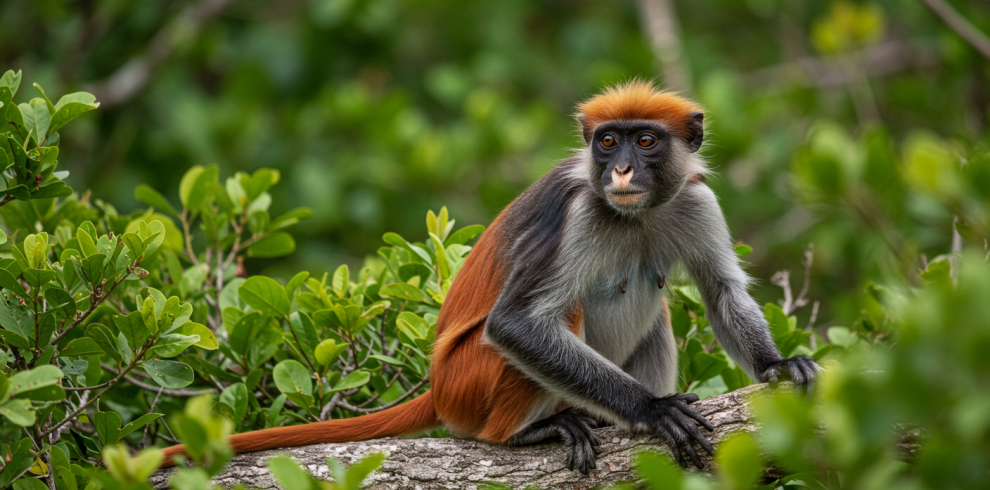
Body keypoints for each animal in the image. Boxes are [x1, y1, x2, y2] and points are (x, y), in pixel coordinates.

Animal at [161, 80, 819, 473]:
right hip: (470, 380)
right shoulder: (581, 210)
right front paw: (652, 410)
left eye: (647, 140)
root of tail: (437, 385)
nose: (623, 170)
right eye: (609, 142)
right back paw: (523, 434)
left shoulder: (694, 199)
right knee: (557, 316)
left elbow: (722, 290)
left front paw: (776, 365)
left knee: (654, 311)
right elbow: (514, 323)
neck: (635, 215)